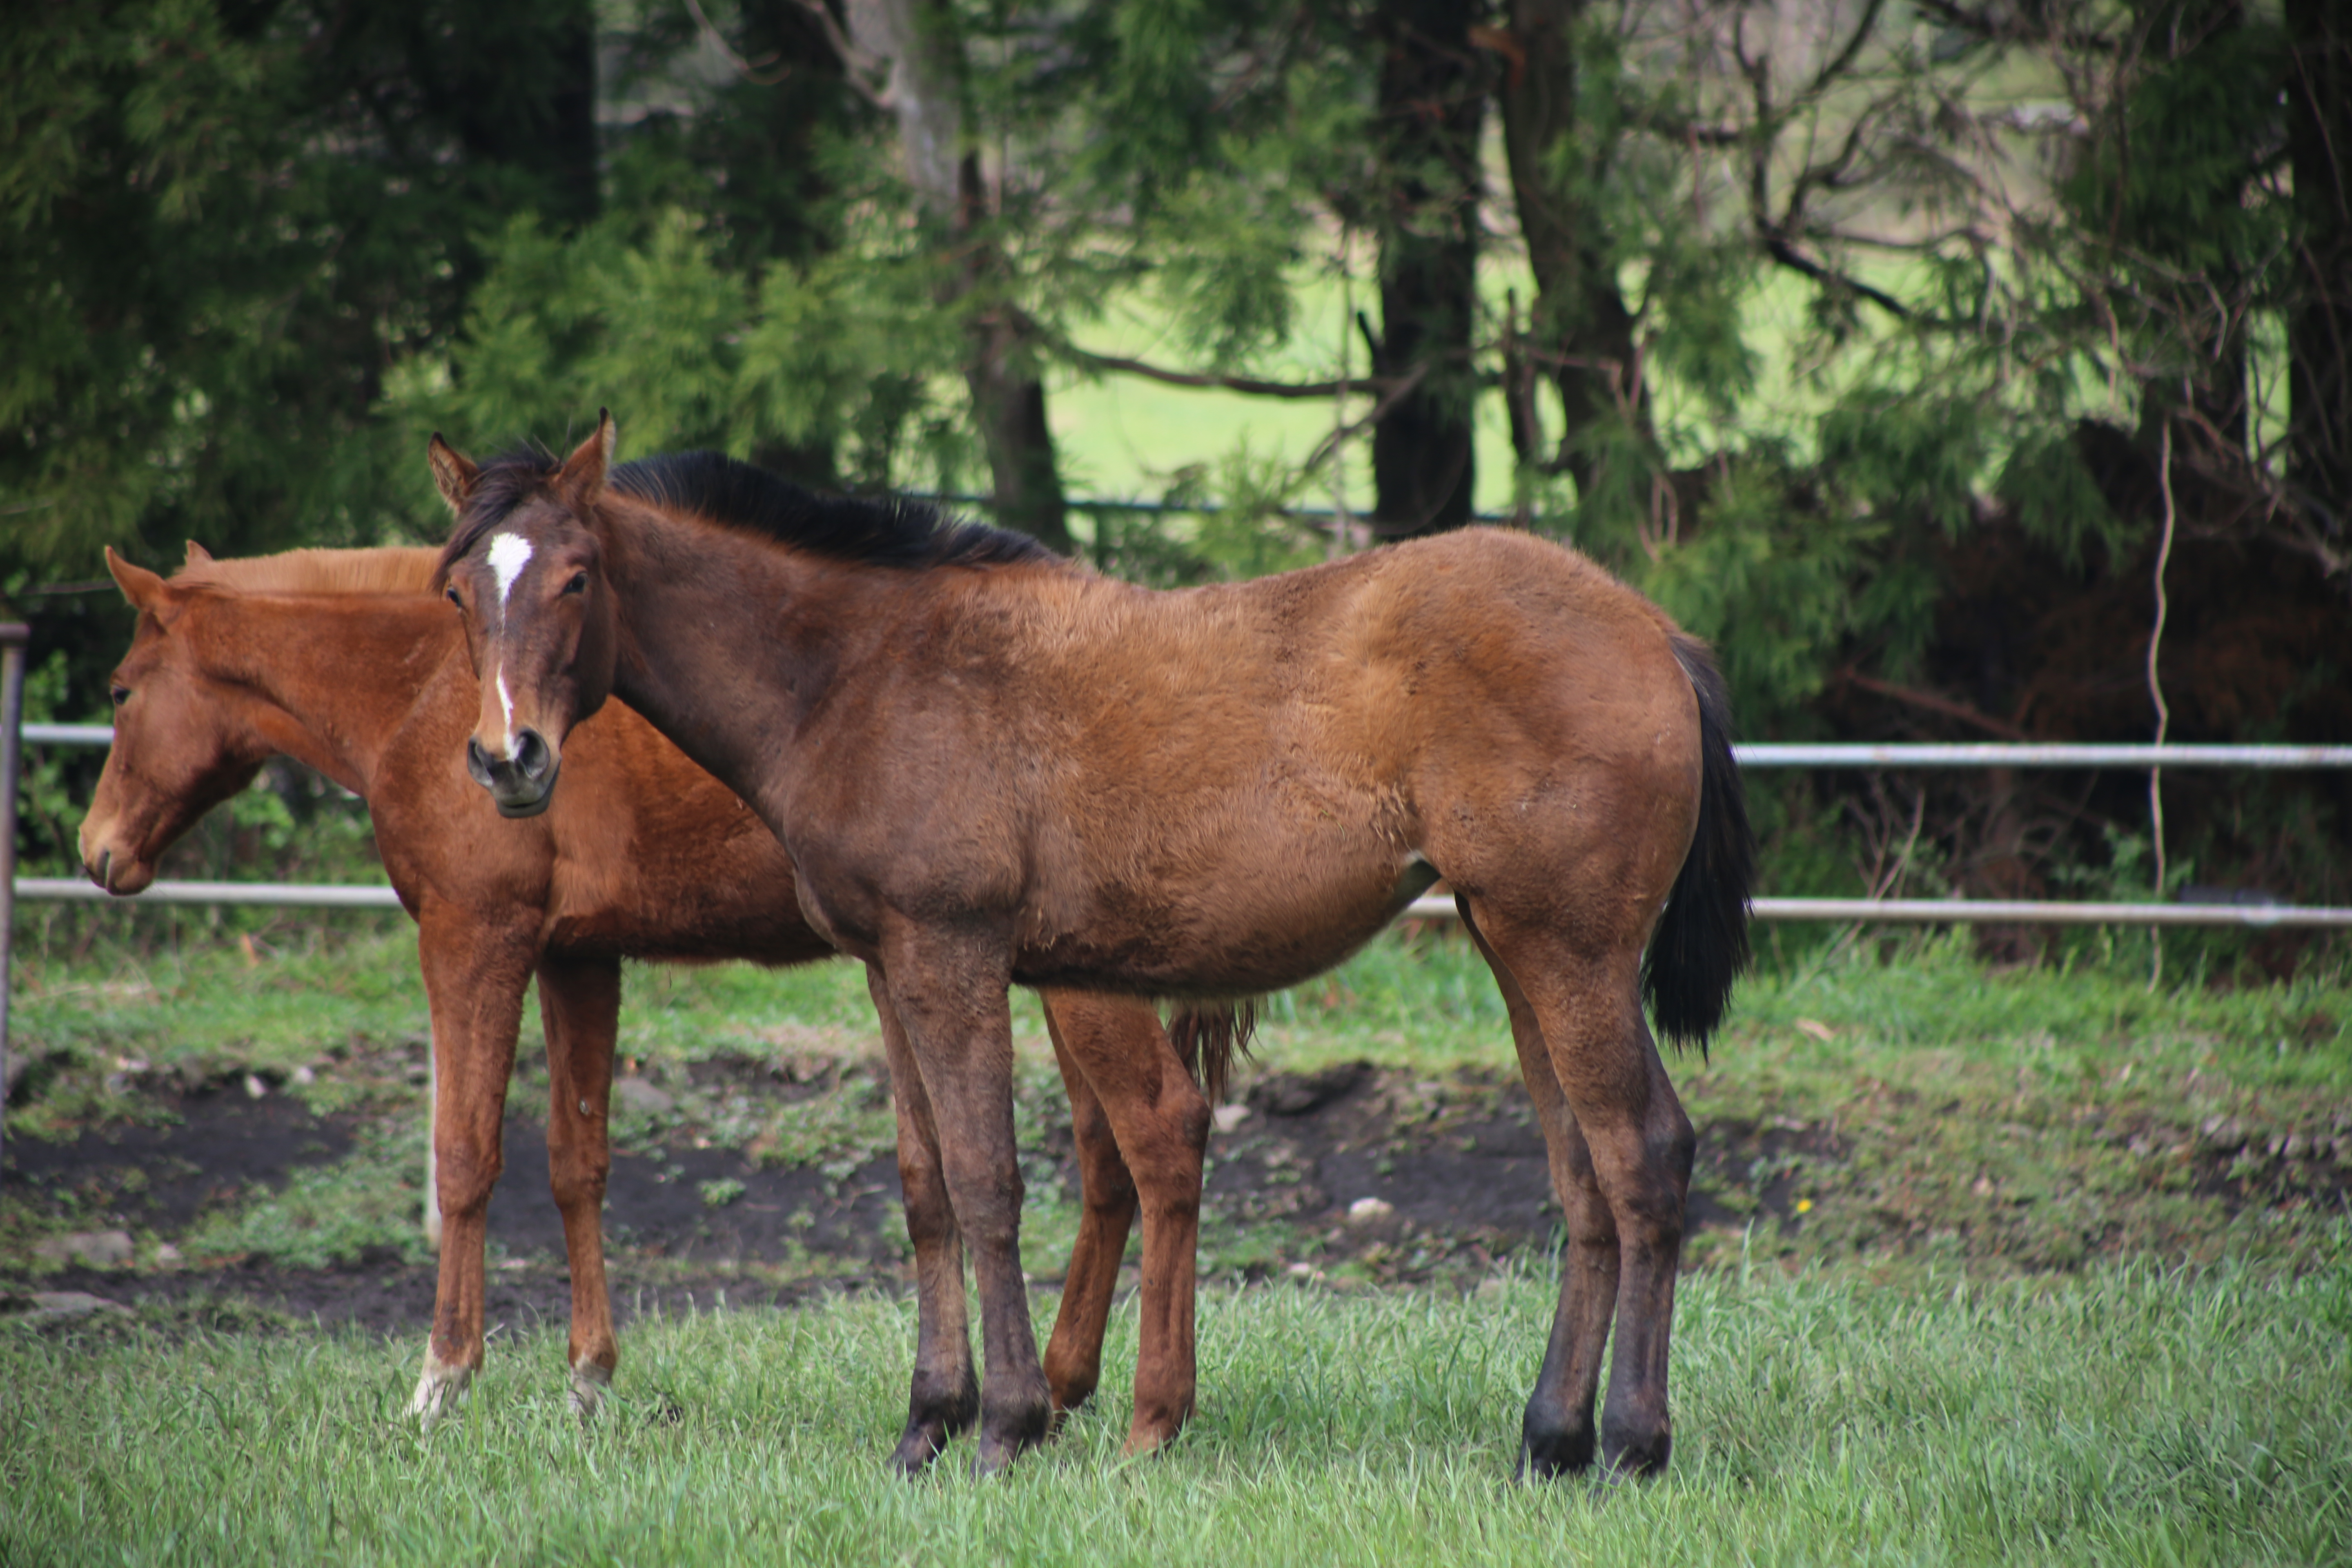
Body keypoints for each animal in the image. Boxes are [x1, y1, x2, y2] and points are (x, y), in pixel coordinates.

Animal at [78, 545, 1214, 1457]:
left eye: (124, 690)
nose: (97, 853)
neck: (425, 688)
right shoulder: (578, 959)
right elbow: (576, 1164)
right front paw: (587, 1382)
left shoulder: (474, 938)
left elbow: (465, 1157)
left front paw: (441, 1384)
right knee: (1108, 1159)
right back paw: (1066, 1387)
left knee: (1159, 1131)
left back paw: (1140, 1414)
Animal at [428, 416, 1750, 1486]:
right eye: (457, 595)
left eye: (578, 577)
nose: (508, 759)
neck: (860, 672)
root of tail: (1655, 630)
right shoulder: (886, 965)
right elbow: (924, 1184)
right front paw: (926, 1422)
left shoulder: (954, 953)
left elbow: (988, 1179)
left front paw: (1005, 1425)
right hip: (1514, 944)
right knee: (1582, 1174)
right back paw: (1547, 1439)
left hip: (1568, 949)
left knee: (1642, 1153)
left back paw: (1629, 1444)